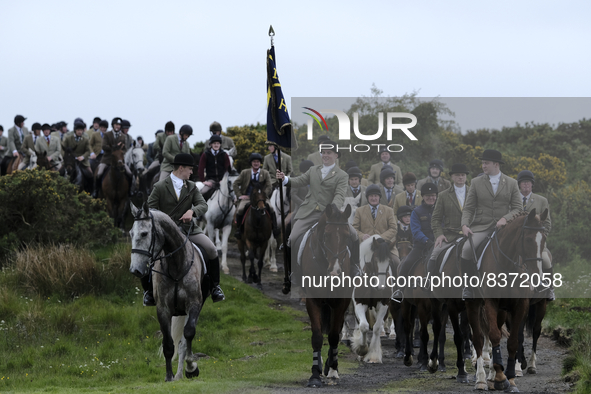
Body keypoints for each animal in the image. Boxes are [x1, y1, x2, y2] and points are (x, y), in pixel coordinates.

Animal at [129, 203, 206, 382]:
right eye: (130, 233)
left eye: (144, 233)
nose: (135, 270)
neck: (176, 265)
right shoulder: (163, 310)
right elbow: (168, 344)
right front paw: (169, 376)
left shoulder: (194, 304)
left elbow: (188, 333)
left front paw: (191, 365)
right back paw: (177, 375)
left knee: (184, 340)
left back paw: (185, 371)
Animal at [300, 205, 352, 386]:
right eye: (327, 235)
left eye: (347, 235)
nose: (335, 271)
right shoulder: (312, 300)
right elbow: (317, 335)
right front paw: (315, 374)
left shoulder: (341, 302)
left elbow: (334, 336)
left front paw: (334, 369)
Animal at [352, 234, 394, 364]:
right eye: (375, 260)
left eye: (389, 261)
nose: (381, 287)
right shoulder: (359, 303)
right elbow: (364, 326)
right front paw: (362, 350)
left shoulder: (384, 305)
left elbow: (376, 328)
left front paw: (373, 355)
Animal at [468, 209, 552, 390]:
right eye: (528, 239)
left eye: (544, 240)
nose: (537, 277)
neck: (506, 266)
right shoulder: (491, 303)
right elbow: (494, 335)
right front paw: (500, 377)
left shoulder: (521, 305)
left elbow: (514, 340)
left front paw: (511, 376)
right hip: (475, 305)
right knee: (478, 337)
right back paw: (482, 378)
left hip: (533, 307)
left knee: (534, 330)